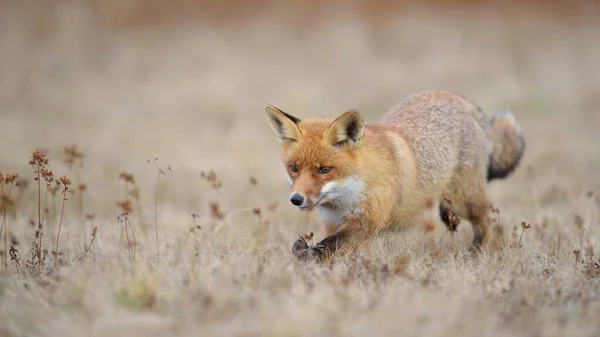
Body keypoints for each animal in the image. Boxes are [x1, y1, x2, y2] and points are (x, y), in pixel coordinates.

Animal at [264, 89, 524, 260]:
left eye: (324, 170)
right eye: (294, 168)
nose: (296, 199)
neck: (346, 197)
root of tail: (459, 97)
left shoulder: (366, 222)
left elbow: (327, 246)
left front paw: (307, 255)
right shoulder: (333, 223)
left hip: (461, 201)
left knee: (487, 223)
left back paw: (474, 255)